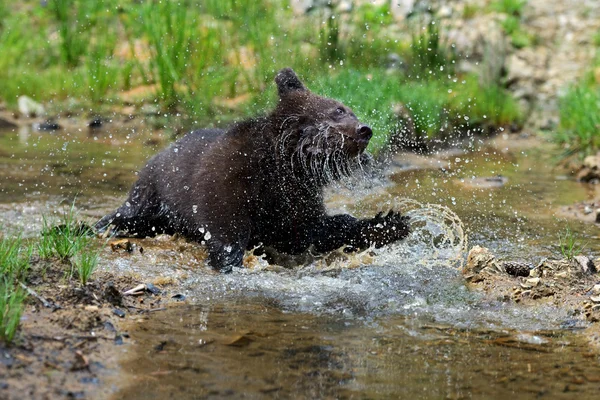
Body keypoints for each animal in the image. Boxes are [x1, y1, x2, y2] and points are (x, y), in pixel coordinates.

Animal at [96, 69, 410, 272]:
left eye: (346, 109)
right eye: (338, 111)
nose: (364, 130)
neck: (283, 166)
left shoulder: (295, 200)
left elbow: (314, 230)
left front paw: (390, 224)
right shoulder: (229, 182)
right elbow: (226, 229)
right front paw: (228, 260)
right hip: (152, 192)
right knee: (129, 214)